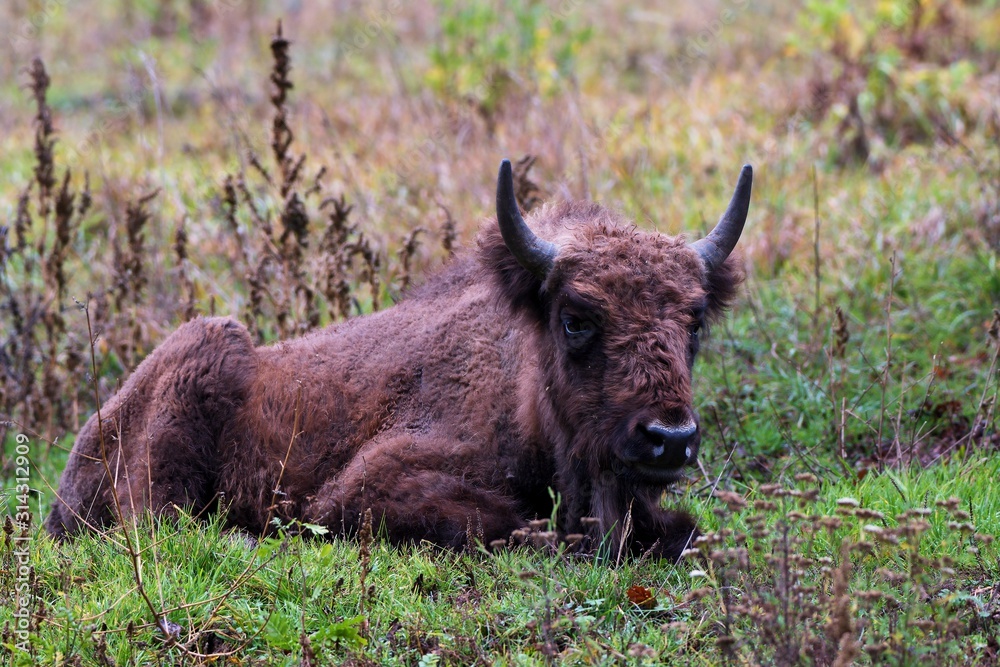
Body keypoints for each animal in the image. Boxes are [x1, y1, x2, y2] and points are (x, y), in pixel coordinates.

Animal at [46, 159, 752, 560]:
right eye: (576, 318)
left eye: (693, 320)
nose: (669, 437)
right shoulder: (368, 487)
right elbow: (509, 522)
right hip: (205, 353)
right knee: (156, 521)